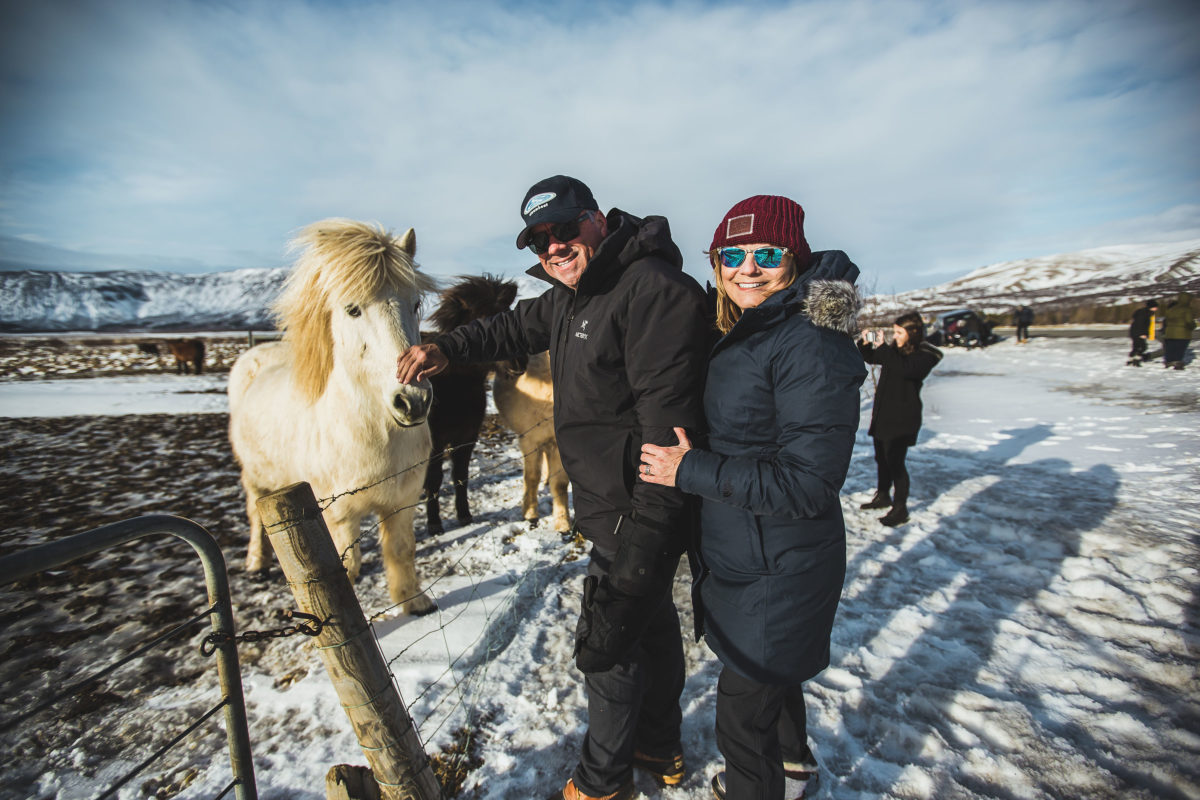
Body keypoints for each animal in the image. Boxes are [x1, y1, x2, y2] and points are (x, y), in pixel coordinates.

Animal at [229, 217, 441, 614]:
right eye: (353, 309)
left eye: (416, 303)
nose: (413, 401)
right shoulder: (339, 516)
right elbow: (349, 568)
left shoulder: (402, 502)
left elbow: (401, 551)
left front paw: (414, 603)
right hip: (255, 477)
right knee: (253, 512)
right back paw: (256, 563)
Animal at [422, 277, 516, 537]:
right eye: (480, 321)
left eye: (508, 313)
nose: (519, 362)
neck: (456, 386)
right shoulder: (435, 443)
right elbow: (434, 479)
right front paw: (434, 523)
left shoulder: (467, 437)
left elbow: (460, 476)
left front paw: (464, 514)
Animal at [496, 352, 571, 534]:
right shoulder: (529, 440)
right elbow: (531, 477)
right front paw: (530, 514)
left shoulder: (557, 443)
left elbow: (560, 484)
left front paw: (563, 523)